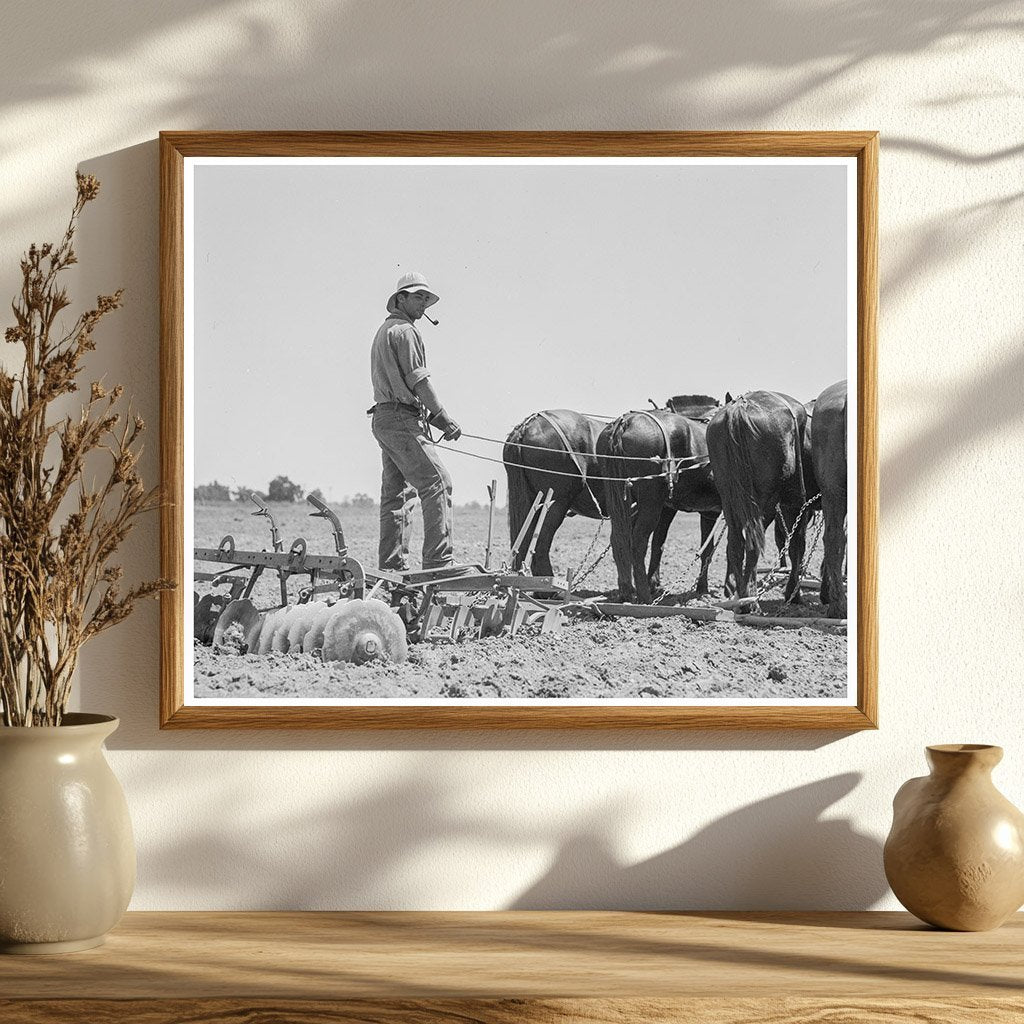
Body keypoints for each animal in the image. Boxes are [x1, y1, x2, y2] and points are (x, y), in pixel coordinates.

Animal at [598, 393, 724, 602]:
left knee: (619, 540)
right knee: (638, 542)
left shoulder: (676, 509)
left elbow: (661, 543)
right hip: (650, 503)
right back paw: (644, 597)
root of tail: (626, 422)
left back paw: (627, 591)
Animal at [704, 387, 806, 602]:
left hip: (730, 499)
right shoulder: (796, 502)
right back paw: (749, 601)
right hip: (765, 503)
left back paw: (739, 594)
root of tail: (739, 407)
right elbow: (796, 544)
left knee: (736, 543)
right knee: (754, 544)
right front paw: (793, 593)